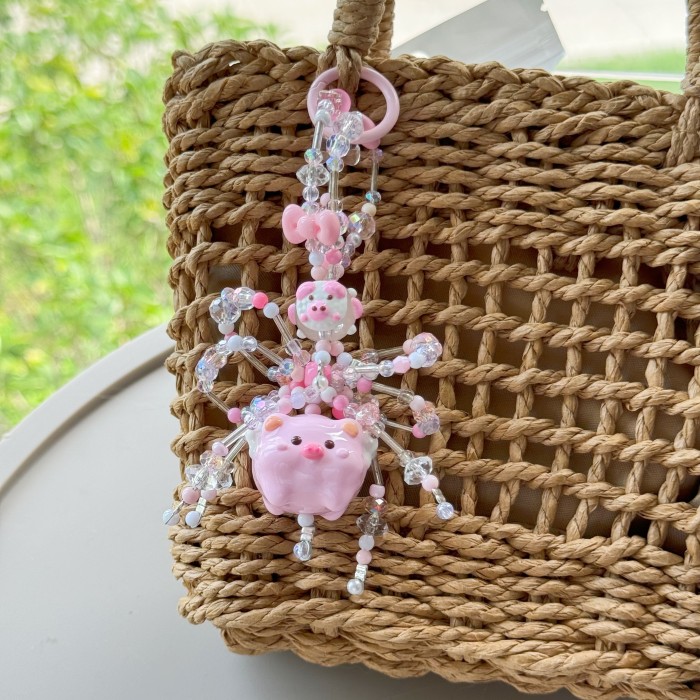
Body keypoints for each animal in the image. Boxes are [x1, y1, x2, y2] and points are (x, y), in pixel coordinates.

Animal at [246, 413, 377, 520]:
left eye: (330, 444)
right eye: (295, 440)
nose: (313, 448)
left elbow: (338, 497)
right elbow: (275, 492)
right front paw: (280, 493)